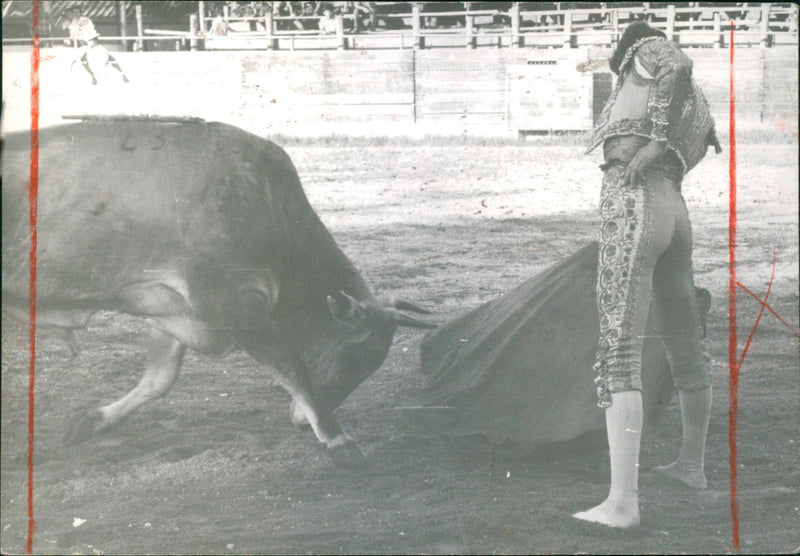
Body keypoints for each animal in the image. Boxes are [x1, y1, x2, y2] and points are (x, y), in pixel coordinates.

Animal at [1, 119, 438, 466]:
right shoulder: (229, 302)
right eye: (353, 358)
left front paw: (94, 422)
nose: (300, 423)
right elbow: (290, 365)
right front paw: (338, 439)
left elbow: (160, 378)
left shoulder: (171, 305)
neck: (264, 201)